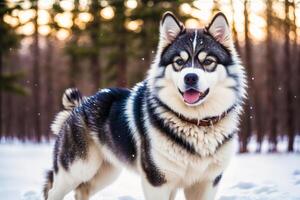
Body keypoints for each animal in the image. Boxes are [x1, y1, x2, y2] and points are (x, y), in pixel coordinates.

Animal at [42, 11, 246, 199]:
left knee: (81, 191)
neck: (195, 122)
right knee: (53, 191)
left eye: (208, 61)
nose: (190, 77)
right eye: (179, 62)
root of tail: (79, 106)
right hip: (77, 169)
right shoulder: (157, 180)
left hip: (106, 172)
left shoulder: (207, 182)